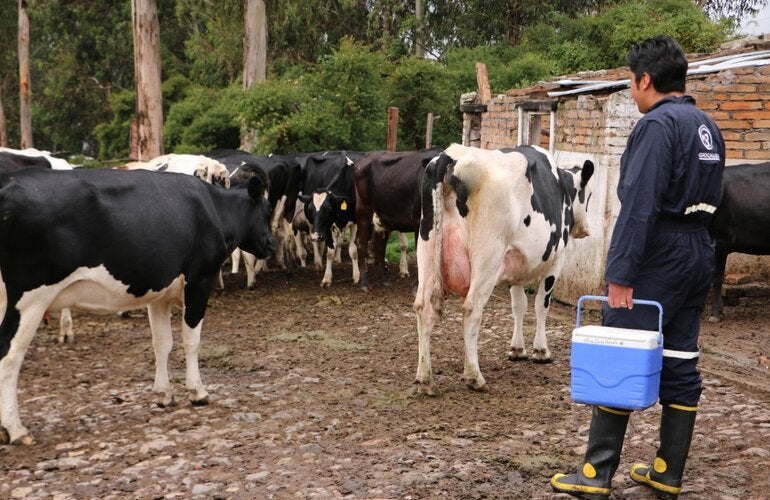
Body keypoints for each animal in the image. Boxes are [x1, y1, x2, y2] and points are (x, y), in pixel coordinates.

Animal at [0, 168, 274, 444]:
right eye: (267, 210)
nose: (272, 245)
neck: (214, 207)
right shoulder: (199, 281)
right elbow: (191, 340)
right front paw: (198, 392)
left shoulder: (158, 294)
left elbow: (162, 343)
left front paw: (164, 395)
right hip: (31, 297)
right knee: (9, 355)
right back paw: (16, 429)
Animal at [296, 152, 361, 286]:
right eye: (310, 209)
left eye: (329, 209)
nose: (317, 236)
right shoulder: (327, 226)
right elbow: (330, 252)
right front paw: (327, 278)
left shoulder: (355, 222)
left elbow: (353, 250)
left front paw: (357, 276)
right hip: (312, 225)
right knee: (315, 242)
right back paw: (318, 263)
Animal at [354, 149, 441, 290]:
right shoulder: (418, 221)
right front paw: (417, 286)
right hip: (363, 211)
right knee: (361, 242)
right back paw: (364, 283)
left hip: (383, 217)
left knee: (380, 246)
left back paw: (384, 280)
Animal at [413, 144, 594, 395]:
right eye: (589, 195)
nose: (585, 229)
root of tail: (449, 156)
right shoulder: (556, 261)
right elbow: (541, 305)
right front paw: (541, 351)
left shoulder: (516, 266)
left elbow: (518, 306)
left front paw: (517, 349)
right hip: (487, 258)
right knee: (471, 309)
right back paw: (474, 377)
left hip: (426, 251)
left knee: (423, 308)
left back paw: (425, 378)